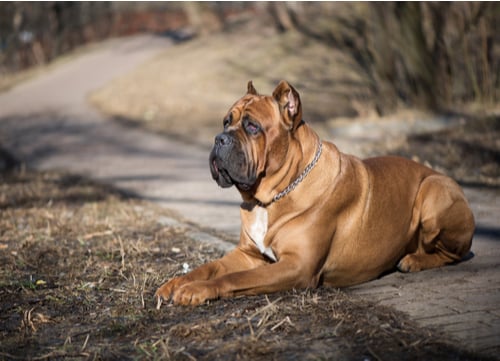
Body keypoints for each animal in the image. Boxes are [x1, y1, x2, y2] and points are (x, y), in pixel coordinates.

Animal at [154, 80, 474, 306]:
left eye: (252, 126)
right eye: (225, 122)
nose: (219, 139)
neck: (270, 198)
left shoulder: (297, 266)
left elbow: (236, 278)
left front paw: (196, 290)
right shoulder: (247, 254)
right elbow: (209, 267)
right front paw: (178, 282)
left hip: (433, 191)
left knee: (454, 254)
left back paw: (414, 260)